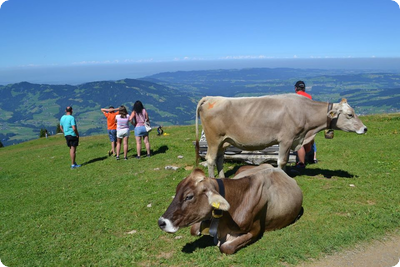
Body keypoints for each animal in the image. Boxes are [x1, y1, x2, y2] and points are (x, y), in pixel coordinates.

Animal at [158, 164, 302, 254]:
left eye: (189, 196)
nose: (161, 222)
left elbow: (226, 248)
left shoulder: (255, 230)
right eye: (177, 191)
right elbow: (193, 230)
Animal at [195, 94, 368, 178]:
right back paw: (213, 180)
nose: (365, 128)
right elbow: (281, 161)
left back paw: (222, 178)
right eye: (350, 114)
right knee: (210, 158)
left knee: (219, 158)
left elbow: (284, 162)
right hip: (213, 139)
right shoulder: (286, 139)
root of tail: (211, 98)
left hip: (224, 140)